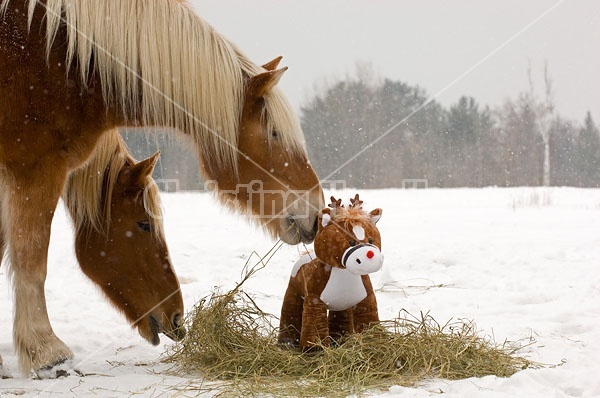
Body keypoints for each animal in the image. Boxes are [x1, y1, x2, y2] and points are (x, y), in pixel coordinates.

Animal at [1, 0, 324, 378]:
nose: (317, 212)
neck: (65, 60)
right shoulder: (36, 167)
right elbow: (31, 257)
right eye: (274, 133)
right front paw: (48, 354)